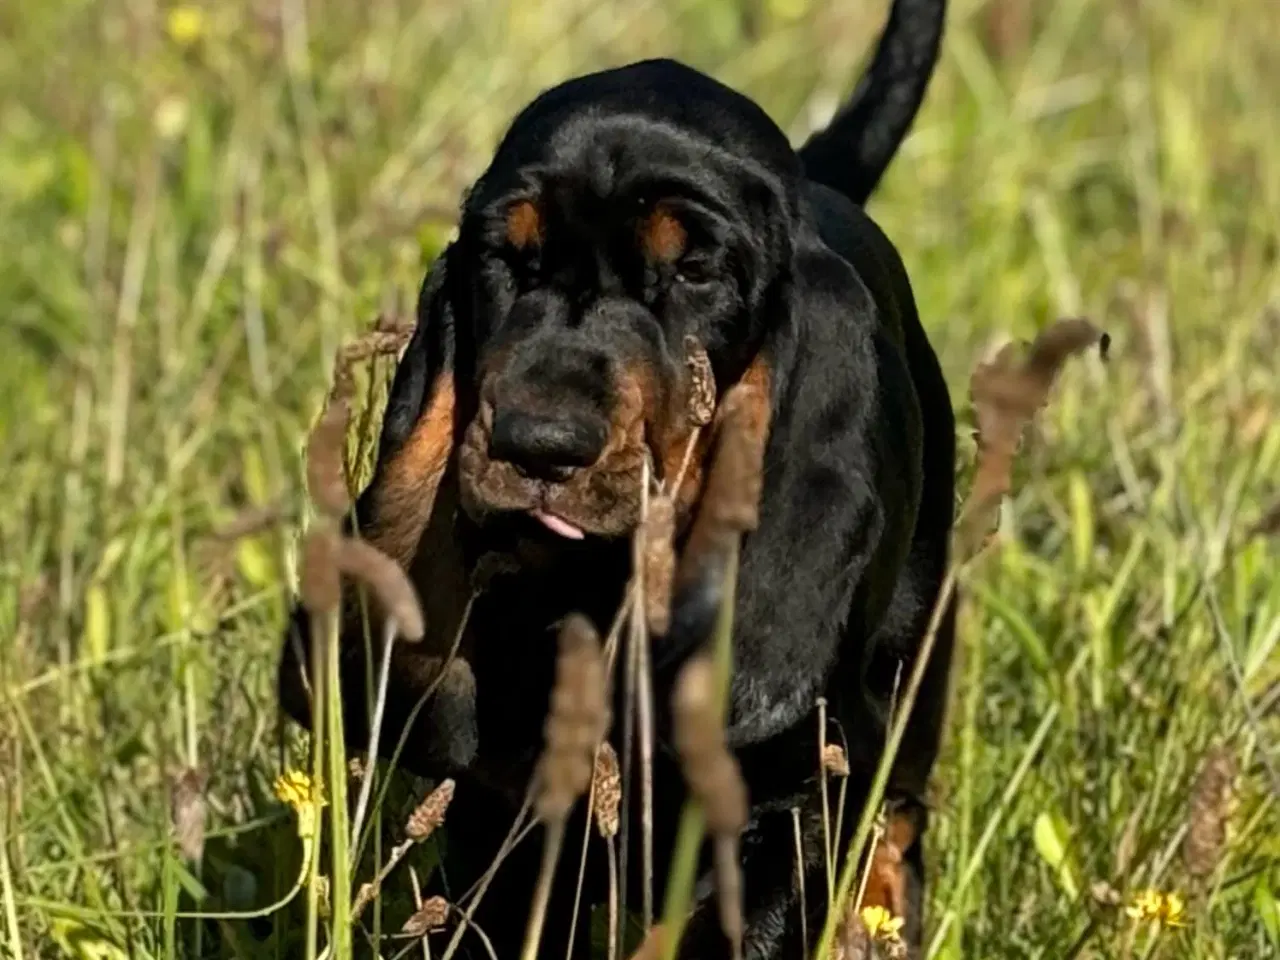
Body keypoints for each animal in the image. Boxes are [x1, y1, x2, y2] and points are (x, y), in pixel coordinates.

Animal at [282, 1, 962, 957]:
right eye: (506, 258)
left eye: (697, 270)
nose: (538, 444)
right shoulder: (512, 811)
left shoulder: (796, 807)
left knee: (900, 825)